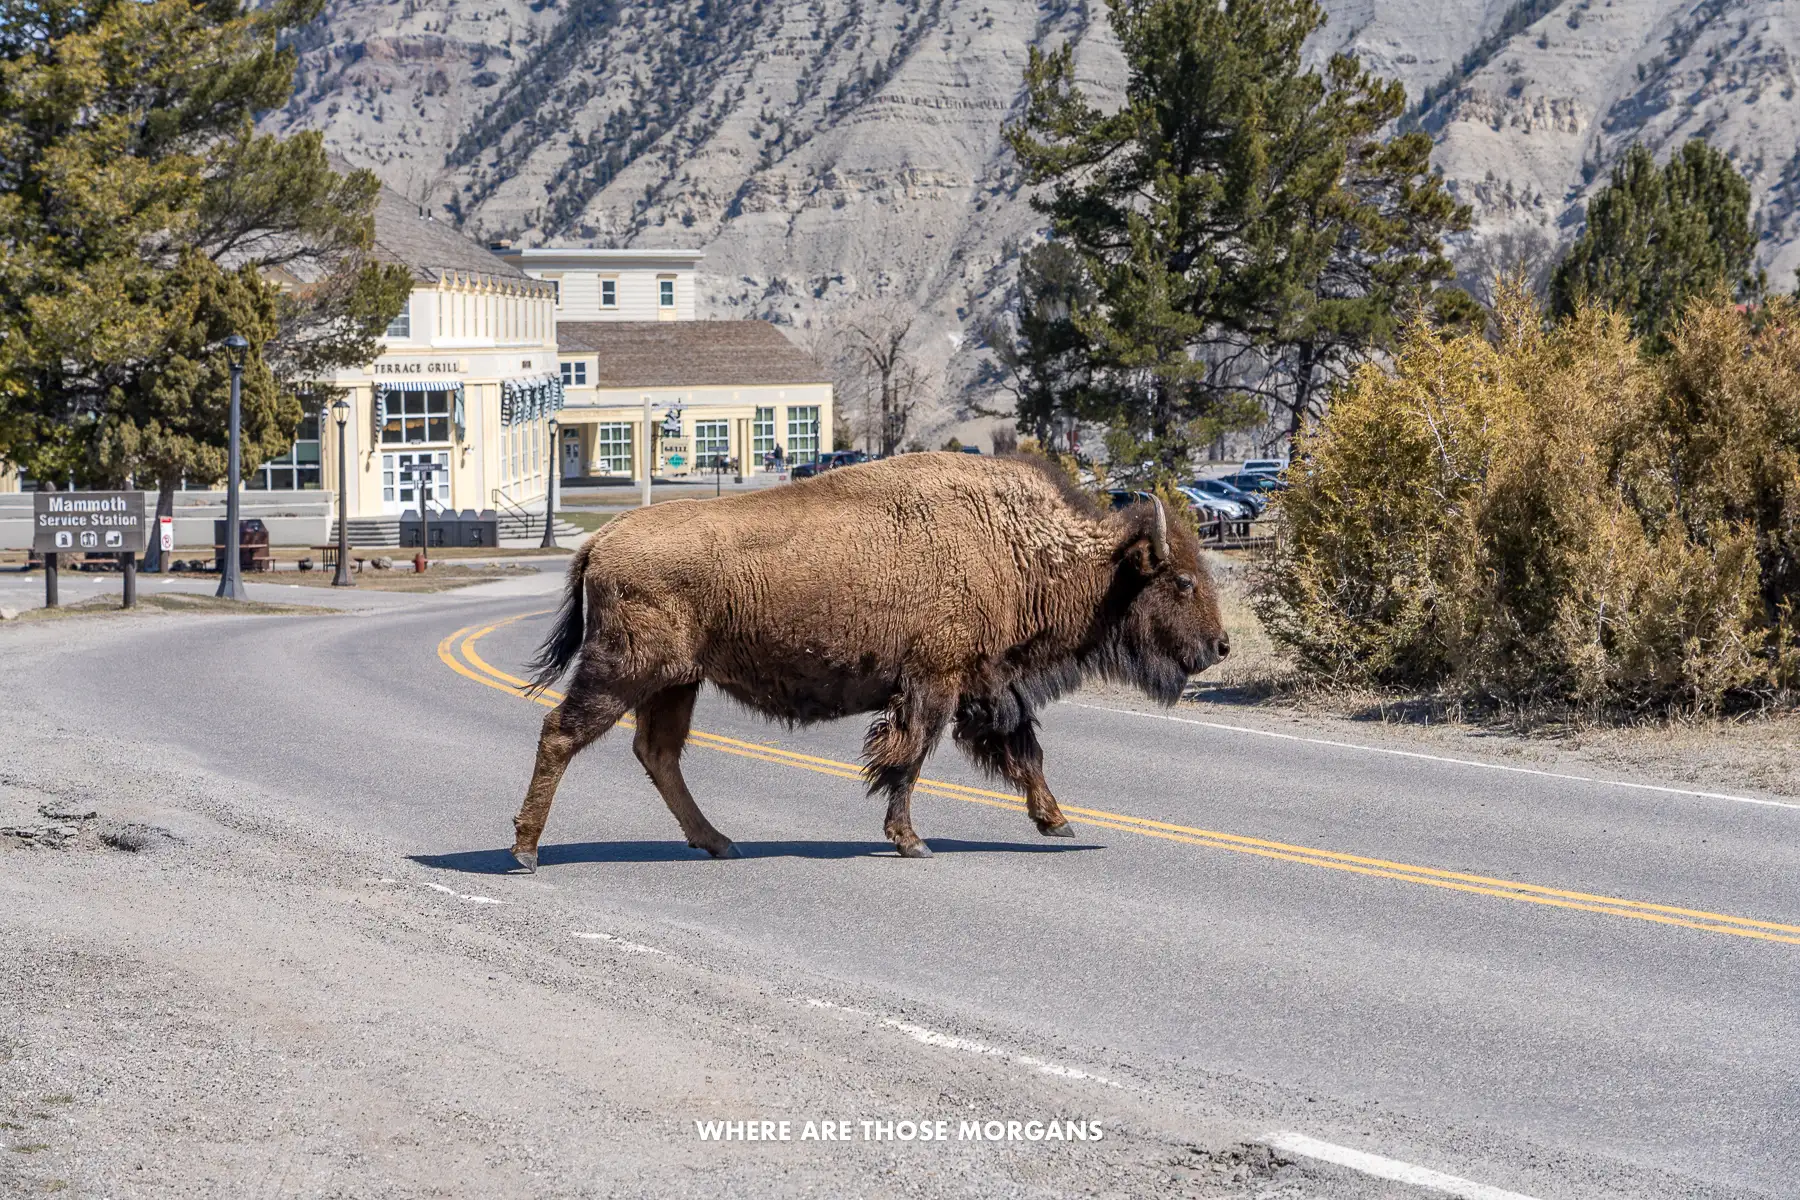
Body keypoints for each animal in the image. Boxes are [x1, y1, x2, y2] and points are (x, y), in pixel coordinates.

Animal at [510, 452, 1228, 870]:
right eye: (1181, 582)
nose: (1221, 645)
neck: (1016, 545)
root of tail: (602, 539)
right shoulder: (933, 685)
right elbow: (908, 762)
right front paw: (912, 841)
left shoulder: (983, 687)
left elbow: (1022, 752)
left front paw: (1056, 821)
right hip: (623, 673)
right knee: (561, 733)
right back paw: (525, 850)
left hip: (675, 683)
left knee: (657, 754)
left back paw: (720, 843)